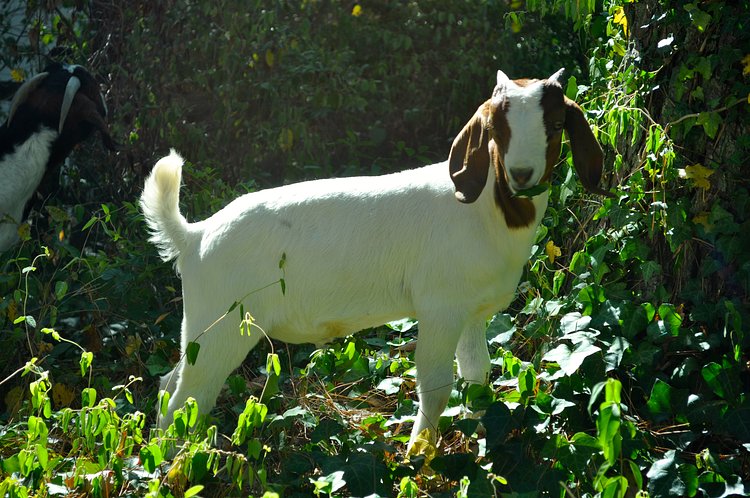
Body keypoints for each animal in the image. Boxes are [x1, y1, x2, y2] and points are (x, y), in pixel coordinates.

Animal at [141, 68, 608, 452]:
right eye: (495, 126)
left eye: (556, 123)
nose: (522, 174)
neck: (489, 209)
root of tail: (195, 236)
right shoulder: (440, 306)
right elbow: (435, 385)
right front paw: (419, 454)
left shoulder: (473, 311)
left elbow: (477, 374)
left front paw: (478, 434)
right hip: (223, 324)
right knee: (188, 395)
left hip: (202, 325)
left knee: (170, 383)